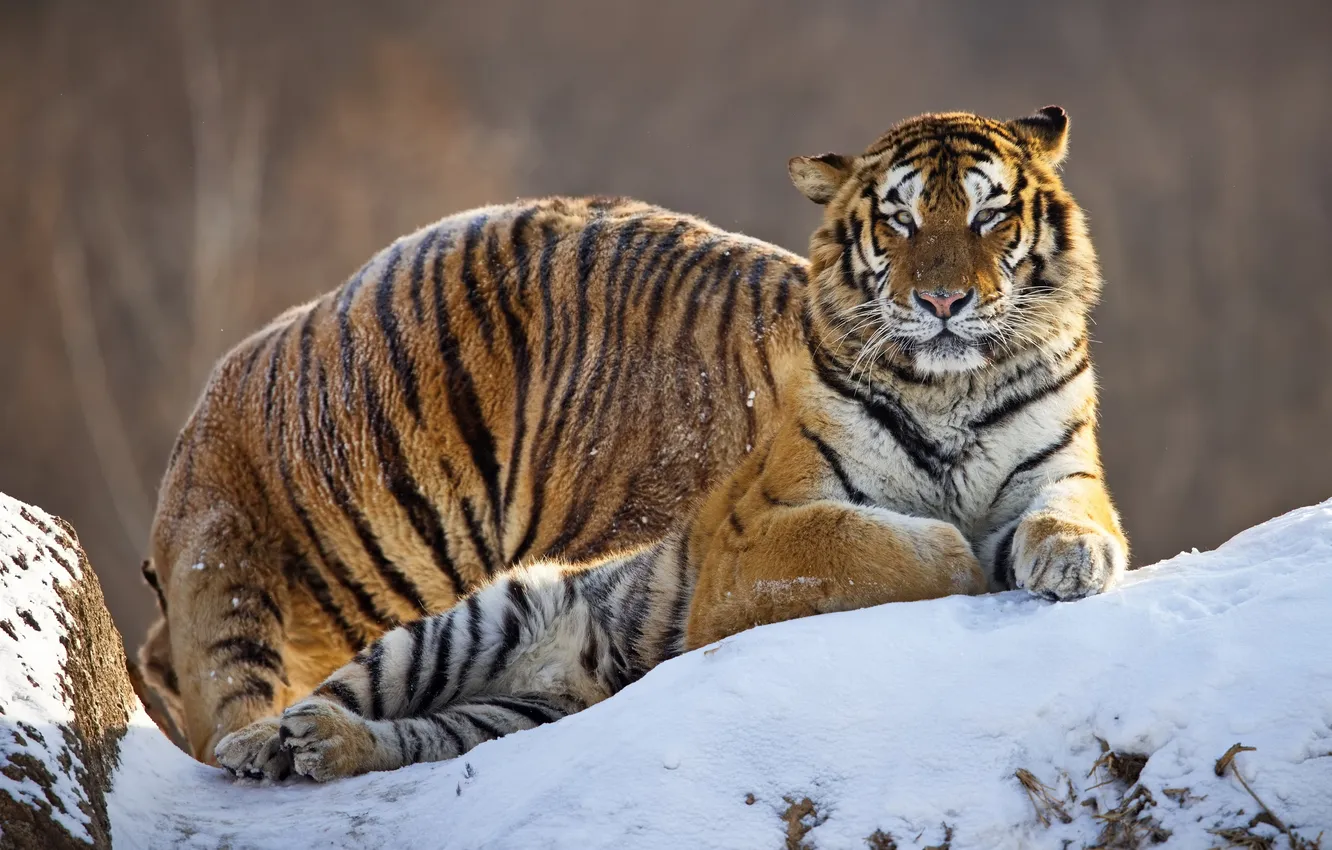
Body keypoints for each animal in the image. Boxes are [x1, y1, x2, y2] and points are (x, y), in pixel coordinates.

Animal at [211, 105, 1129, 783]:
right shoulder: (760, 533)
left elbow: (1072, 515)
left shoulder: (1064, 469)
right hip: (469, 623)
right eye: (900, 221)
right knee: (344, 686)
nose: (942, 302)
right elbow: (898, 543)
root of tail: (566, 667)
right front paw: (966, 558)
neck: (952, 387)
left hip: (506, 715)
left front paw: (1071, 557)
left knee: (417, 736)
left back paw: (326, 747)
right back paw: (266, 743)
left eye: (988, 214)